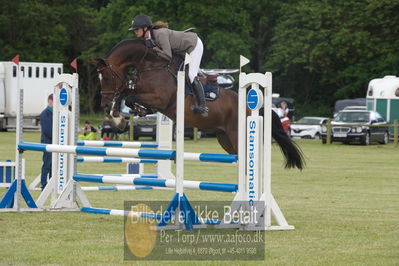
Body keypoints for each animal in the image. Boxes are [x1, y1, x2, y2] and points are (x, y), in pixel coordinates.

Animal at [92, 38, 304, 169]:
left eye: (108, 77)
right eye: (99, 78)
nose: (104, 104)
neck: (150, 65)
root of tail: (254, 110)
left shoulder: (160, 99)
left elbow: (129, 97)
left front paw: (121, 116)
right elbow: (126, 93)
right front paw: (119, 117)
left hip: (238, 135)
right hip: (225, 138)